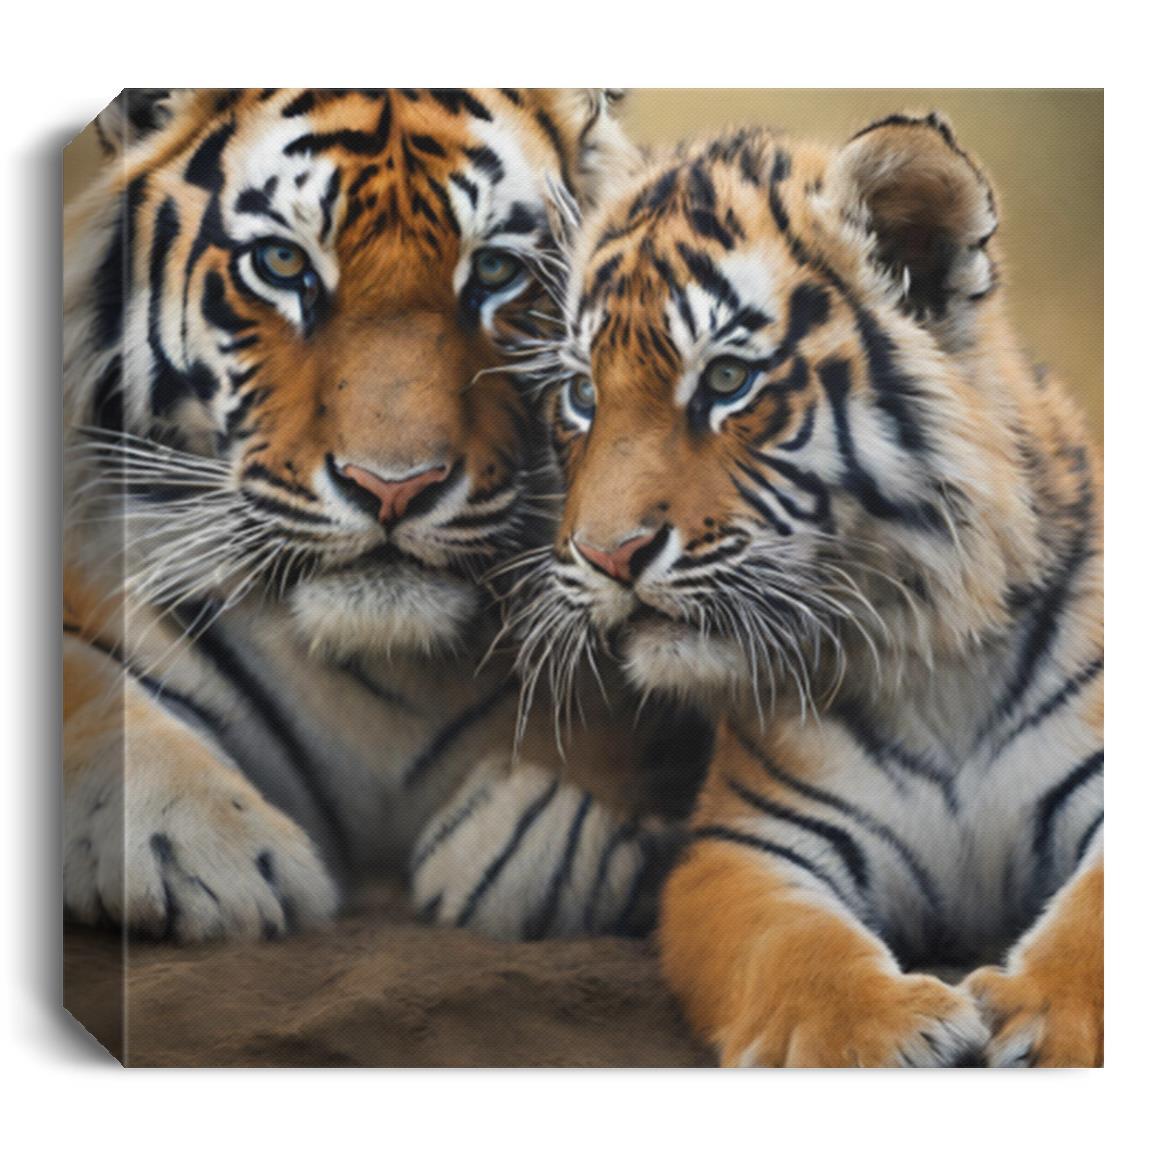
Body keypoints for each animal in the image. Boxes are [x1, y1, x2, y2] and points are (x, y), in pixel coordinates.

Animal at [64, 87, 709, 946]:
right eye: (282, 264)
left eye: (497, 269)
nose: (393, 488)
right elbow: (92, 691)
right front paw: (209, 852)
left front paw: (531, 838)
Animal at [522, 112, 1103, 1065]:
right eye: (580, 393)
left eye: (726, 381)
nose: (608, 554)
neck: (932, 653)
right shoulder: (744, 844)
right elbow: (792, 944)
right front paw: (875, 1032)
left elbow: (1096, 915)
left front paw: (1047, 1020)